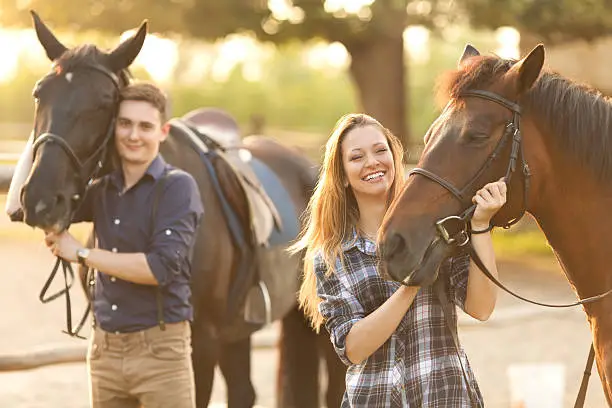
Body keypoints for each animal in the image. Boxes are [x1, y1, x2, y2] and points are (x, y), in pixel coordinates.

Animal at [19, 11, 344, 406]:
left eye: (104, 101)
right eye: (40, 93)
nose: (40, 200)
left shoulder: (200, 342)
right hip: (242, 329)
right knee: (244, 390)